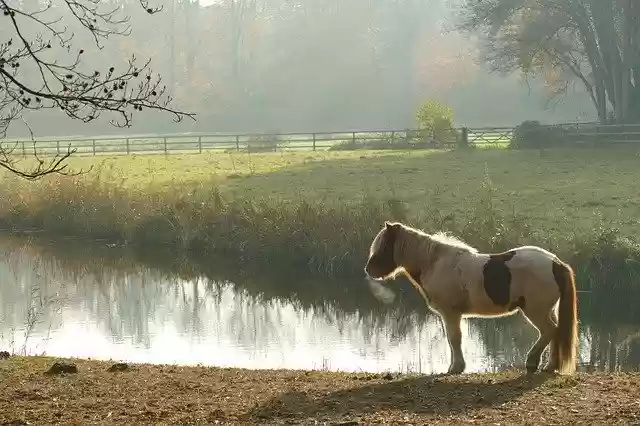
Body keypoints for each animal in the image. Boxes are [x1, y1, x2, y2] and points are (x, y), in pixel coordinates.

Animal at [364, 221, 578, 375]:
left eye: (384, 246)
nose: (368, 269)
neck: (435, 263)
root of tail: (556, 263)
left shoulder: (451, 314)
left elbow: (454, 339)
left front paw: (455, 368)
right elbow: (453, 340)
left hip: (536, 310)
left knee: (550, 331)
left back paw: (532, 363)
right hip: (548, 310)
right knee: (555, 333)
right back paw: (549, 366)